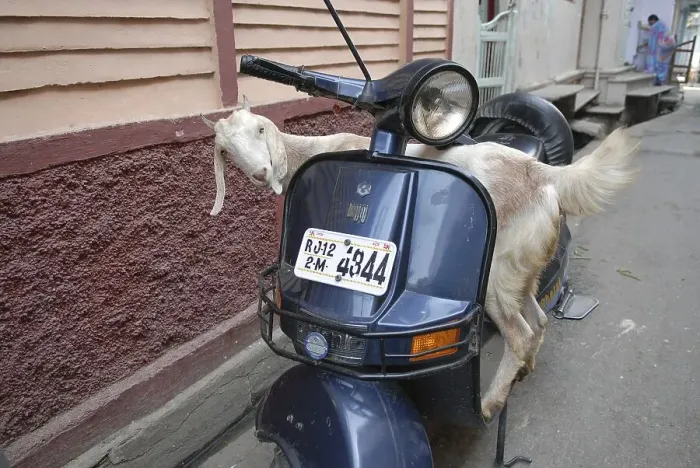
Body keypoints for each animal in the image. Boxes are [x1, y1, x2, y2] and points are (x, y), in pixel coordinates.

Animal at [202, 103, 639, 421]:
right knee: (539, 319)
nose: (261, 173)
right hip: (518, 270)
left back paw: (490, 404)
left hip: (494, 280)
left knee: (519, 333)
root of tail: (546, 175)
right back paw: (524, 371)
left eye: (260, 130)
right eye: (226, 150)